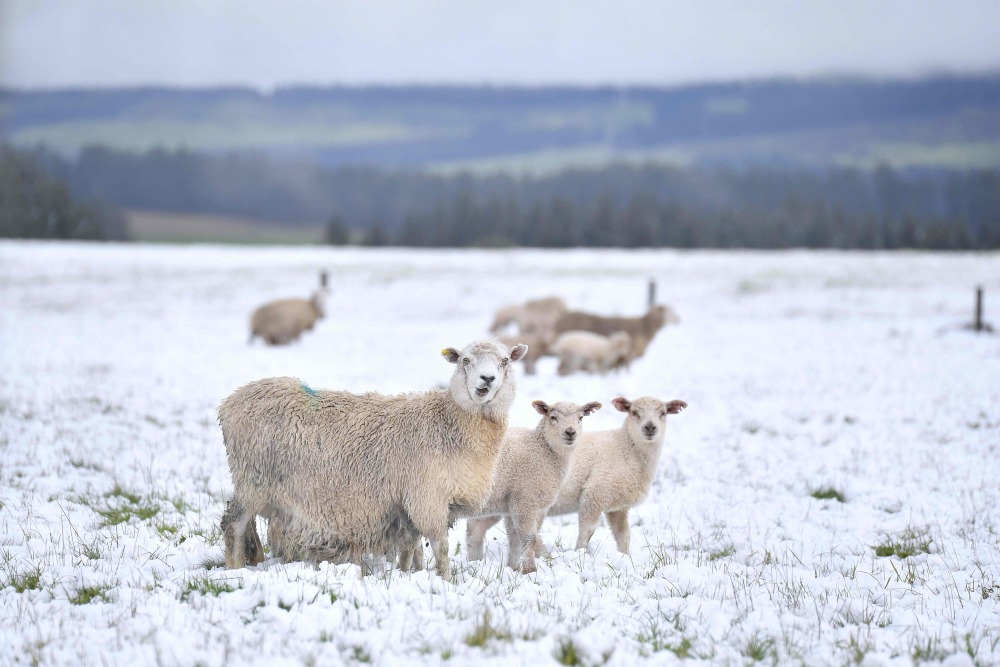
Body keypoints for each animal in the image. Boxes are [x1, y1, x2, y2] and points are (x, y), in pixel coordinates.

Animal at [219, 340, 532, 580]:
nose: (487, 380)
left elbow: (411, 545)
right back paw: (235, 570)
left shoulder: (407, 502)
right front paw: (446, 580)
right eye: (465, 360)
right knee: (234, 524)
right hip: (254, 477)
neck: (448, 422)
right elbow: (440, 547)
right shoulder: (427, 497)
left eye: (504, 361)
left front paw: (409, 573)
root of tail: (231, 401)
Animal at [466, 396, 600, 576]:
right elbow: (529, 538)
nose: (570, 432)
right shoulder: (524, 498)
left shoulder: (513, 503)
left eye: (581, 418)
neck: (541, 450)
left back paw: (474, 563)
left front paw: (513, 568)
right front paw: (530, 570)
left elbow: (515, 538)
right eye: (553, 417)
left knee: (474, 530)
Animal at [540, 396, 688, 552]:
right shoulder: (594, 495)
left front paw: (625, 555)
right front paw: (580, 552)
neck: (625, 447)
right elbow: (587, 531)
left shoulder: (618, 507)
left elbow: (623, 535)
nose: (650, 427)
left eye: (663, 413)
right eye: (634, 412)